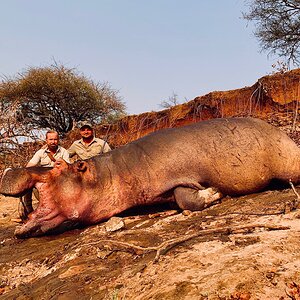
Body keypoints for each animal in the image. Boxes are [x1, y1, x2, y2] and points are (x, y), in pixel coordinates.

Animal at [1, 116, 300, 237]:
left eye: (60, 166)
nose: (11, 169)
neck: (110, 173)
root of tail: (282, 132)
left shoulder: (180, 177)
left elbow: (187, 198)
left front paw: (215, 192)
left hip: (287, 160)